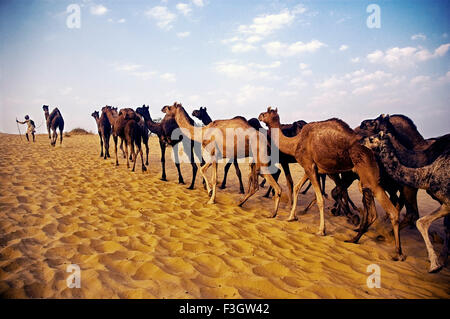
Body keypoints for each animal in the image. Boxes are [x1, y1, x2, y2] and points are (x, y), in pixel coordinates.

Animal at [258, 107, 406, 262]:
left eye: (266, 112)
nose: (259, 115)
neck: (296, 142)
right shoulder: (312, 168)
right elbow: (297, 187)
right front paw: (292, 217)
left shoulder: (309, 166)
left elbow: (320, 199)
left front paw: (321, 230)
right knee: (373, 212)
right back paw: (354, 238)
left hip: (370, 176)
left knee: (392, 211)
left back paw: (398, 253)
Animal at [368, 132, 448, 272]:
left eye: (372, 138)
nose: (362, 142)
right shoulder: (446, 203)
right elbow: (421, 222)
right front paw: (435, 264)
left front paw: (435, 264)